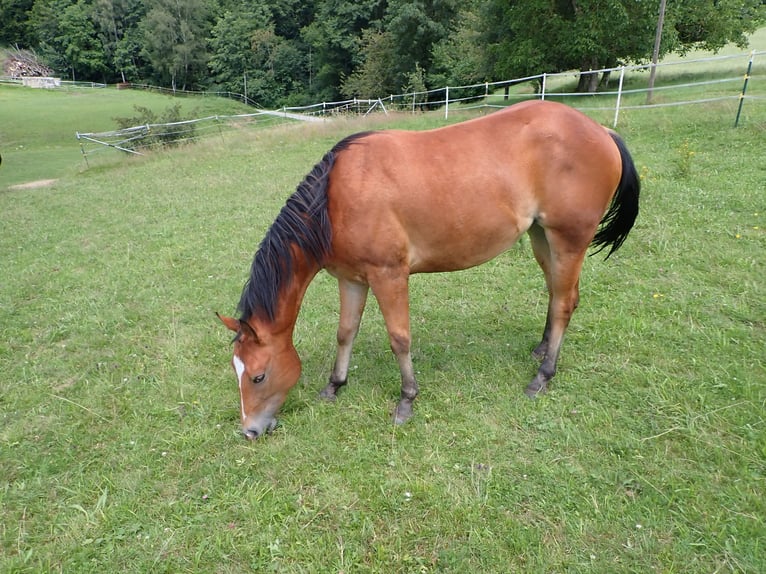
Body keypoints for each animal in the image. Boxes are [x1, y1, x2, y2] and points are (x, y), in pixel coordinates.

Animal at [218, 100, 640, 440]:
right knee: (557, 296)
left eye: (258, 375)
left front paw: (406, 399)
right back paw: (542, 349)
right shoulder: (351, 279)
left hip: (568, 240)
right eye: (236, 372)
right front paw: (334, 386)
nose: (249, 431)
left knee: (565, 302)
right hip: (542, 238)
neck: (335, 197)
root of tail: (600, 131)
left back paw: (543, 376)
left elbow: (399, 338)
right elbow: (345, 333)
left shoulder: (388, 275)